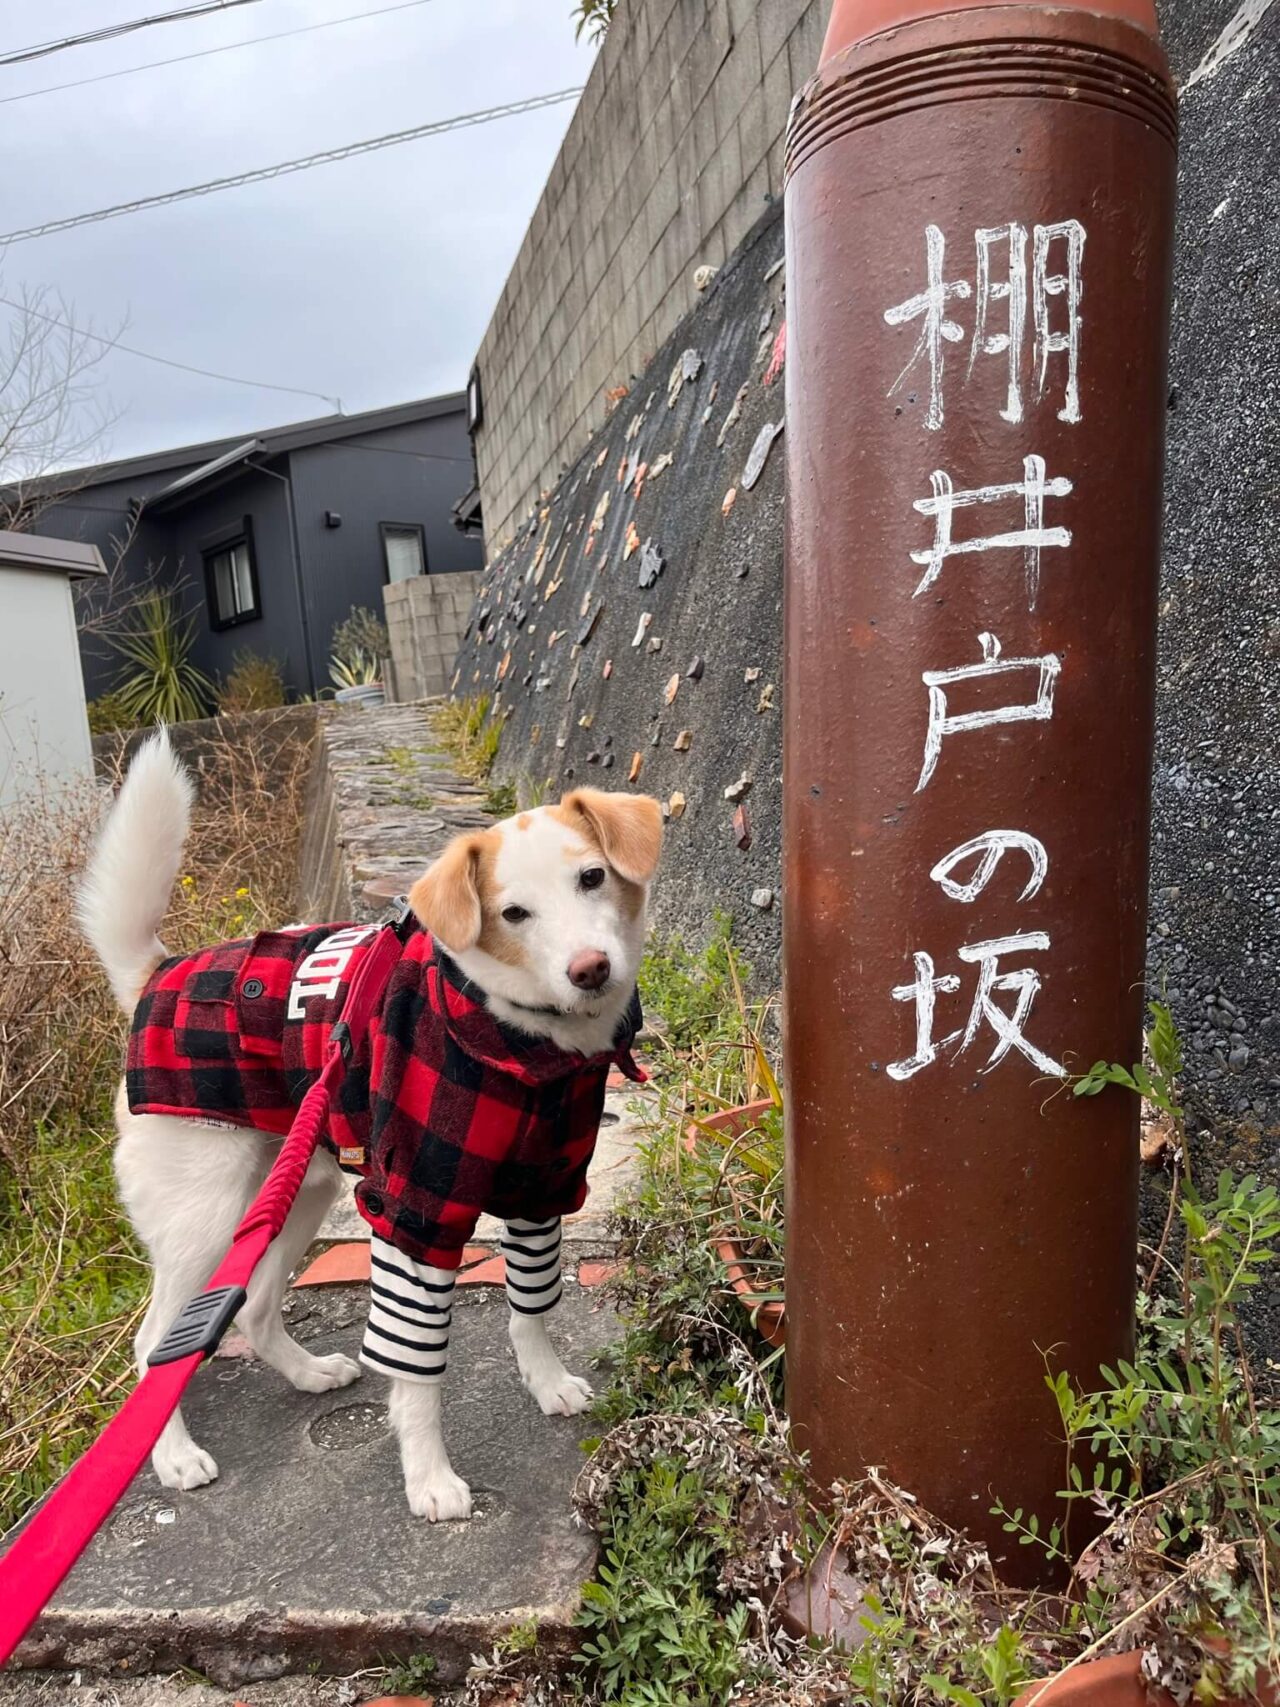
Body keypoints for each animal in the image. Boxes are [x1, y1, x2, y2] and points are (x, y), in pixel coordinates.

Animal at [81, 734, 665, 1522]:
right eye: (514, 913)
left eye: (593, 876)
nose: (590, 968)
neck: (521, 1044)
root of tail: (155, 975)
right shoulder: (415, 1210)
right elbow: (417, 1373)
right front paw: (429, 1478)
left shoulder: (543, 1190)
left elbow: (530, 1305)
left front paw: (547, 1382)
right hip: (203, 1220)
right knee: (152, 1346)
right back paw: (172, 1455)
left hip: (296, 1192)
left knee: (255, 1309)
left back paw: (309, 1373)